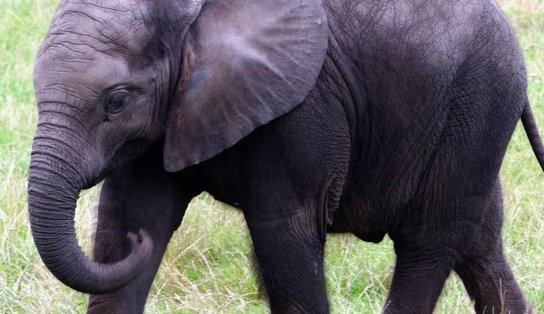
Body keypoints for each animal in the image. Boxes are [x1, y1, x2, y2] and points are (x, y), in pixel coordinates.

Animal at [27, 0, 540, 312]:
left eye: (116, 100)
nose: (141, 246)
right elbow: (133, 213)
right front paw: (138, 236)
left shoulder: (305, 105)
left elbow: (284, 229)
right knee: (478, 244)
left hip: (478, 101)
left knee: (428, 241)